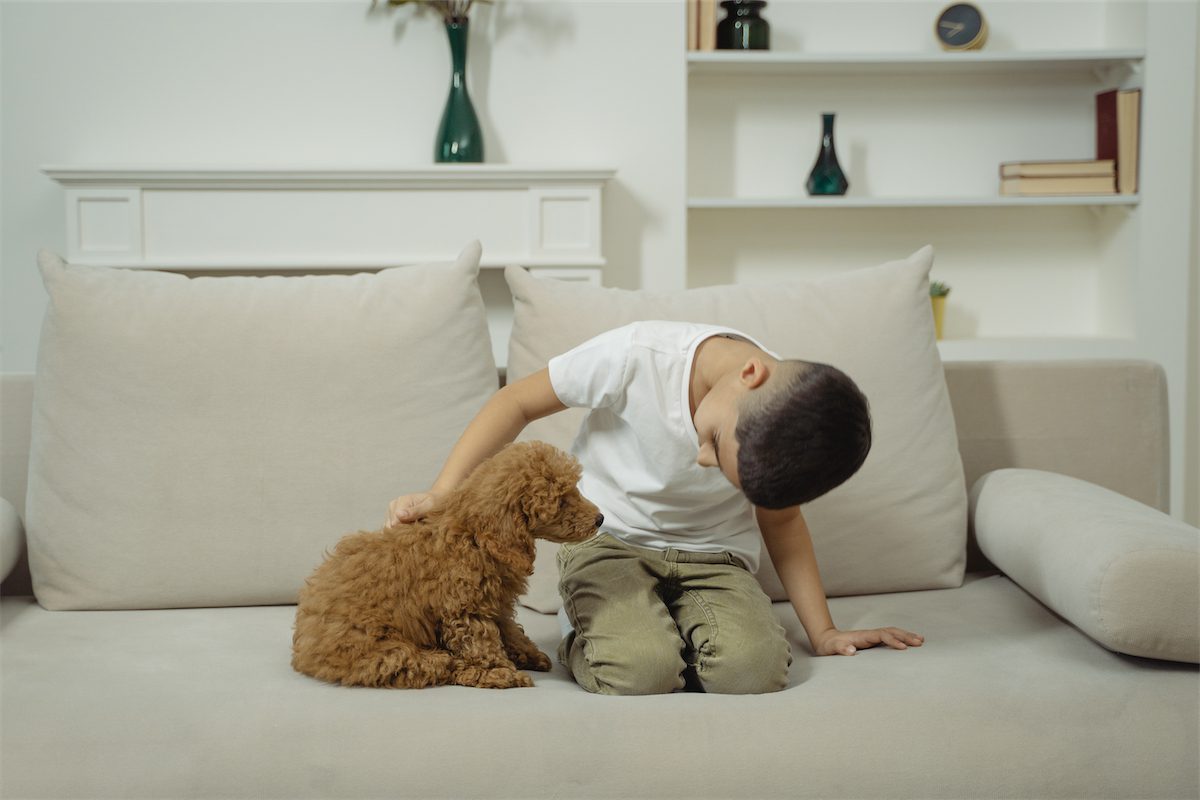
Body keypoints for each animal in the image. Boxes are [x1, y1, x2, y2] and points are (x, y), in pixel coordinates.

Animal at [290, 441, 600, 690]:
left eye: (574, 490)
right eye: (561, 501)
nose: (600, 519)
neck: (473, 536)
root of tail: (303, 653)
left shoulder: (497, 602)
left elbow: (508, 628)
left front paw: (527, 653)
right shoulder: (465, 608)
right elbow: (482, 642)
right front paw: (499, 671)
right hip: (381, 653)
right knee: (427, 666)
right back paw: (465, 669)